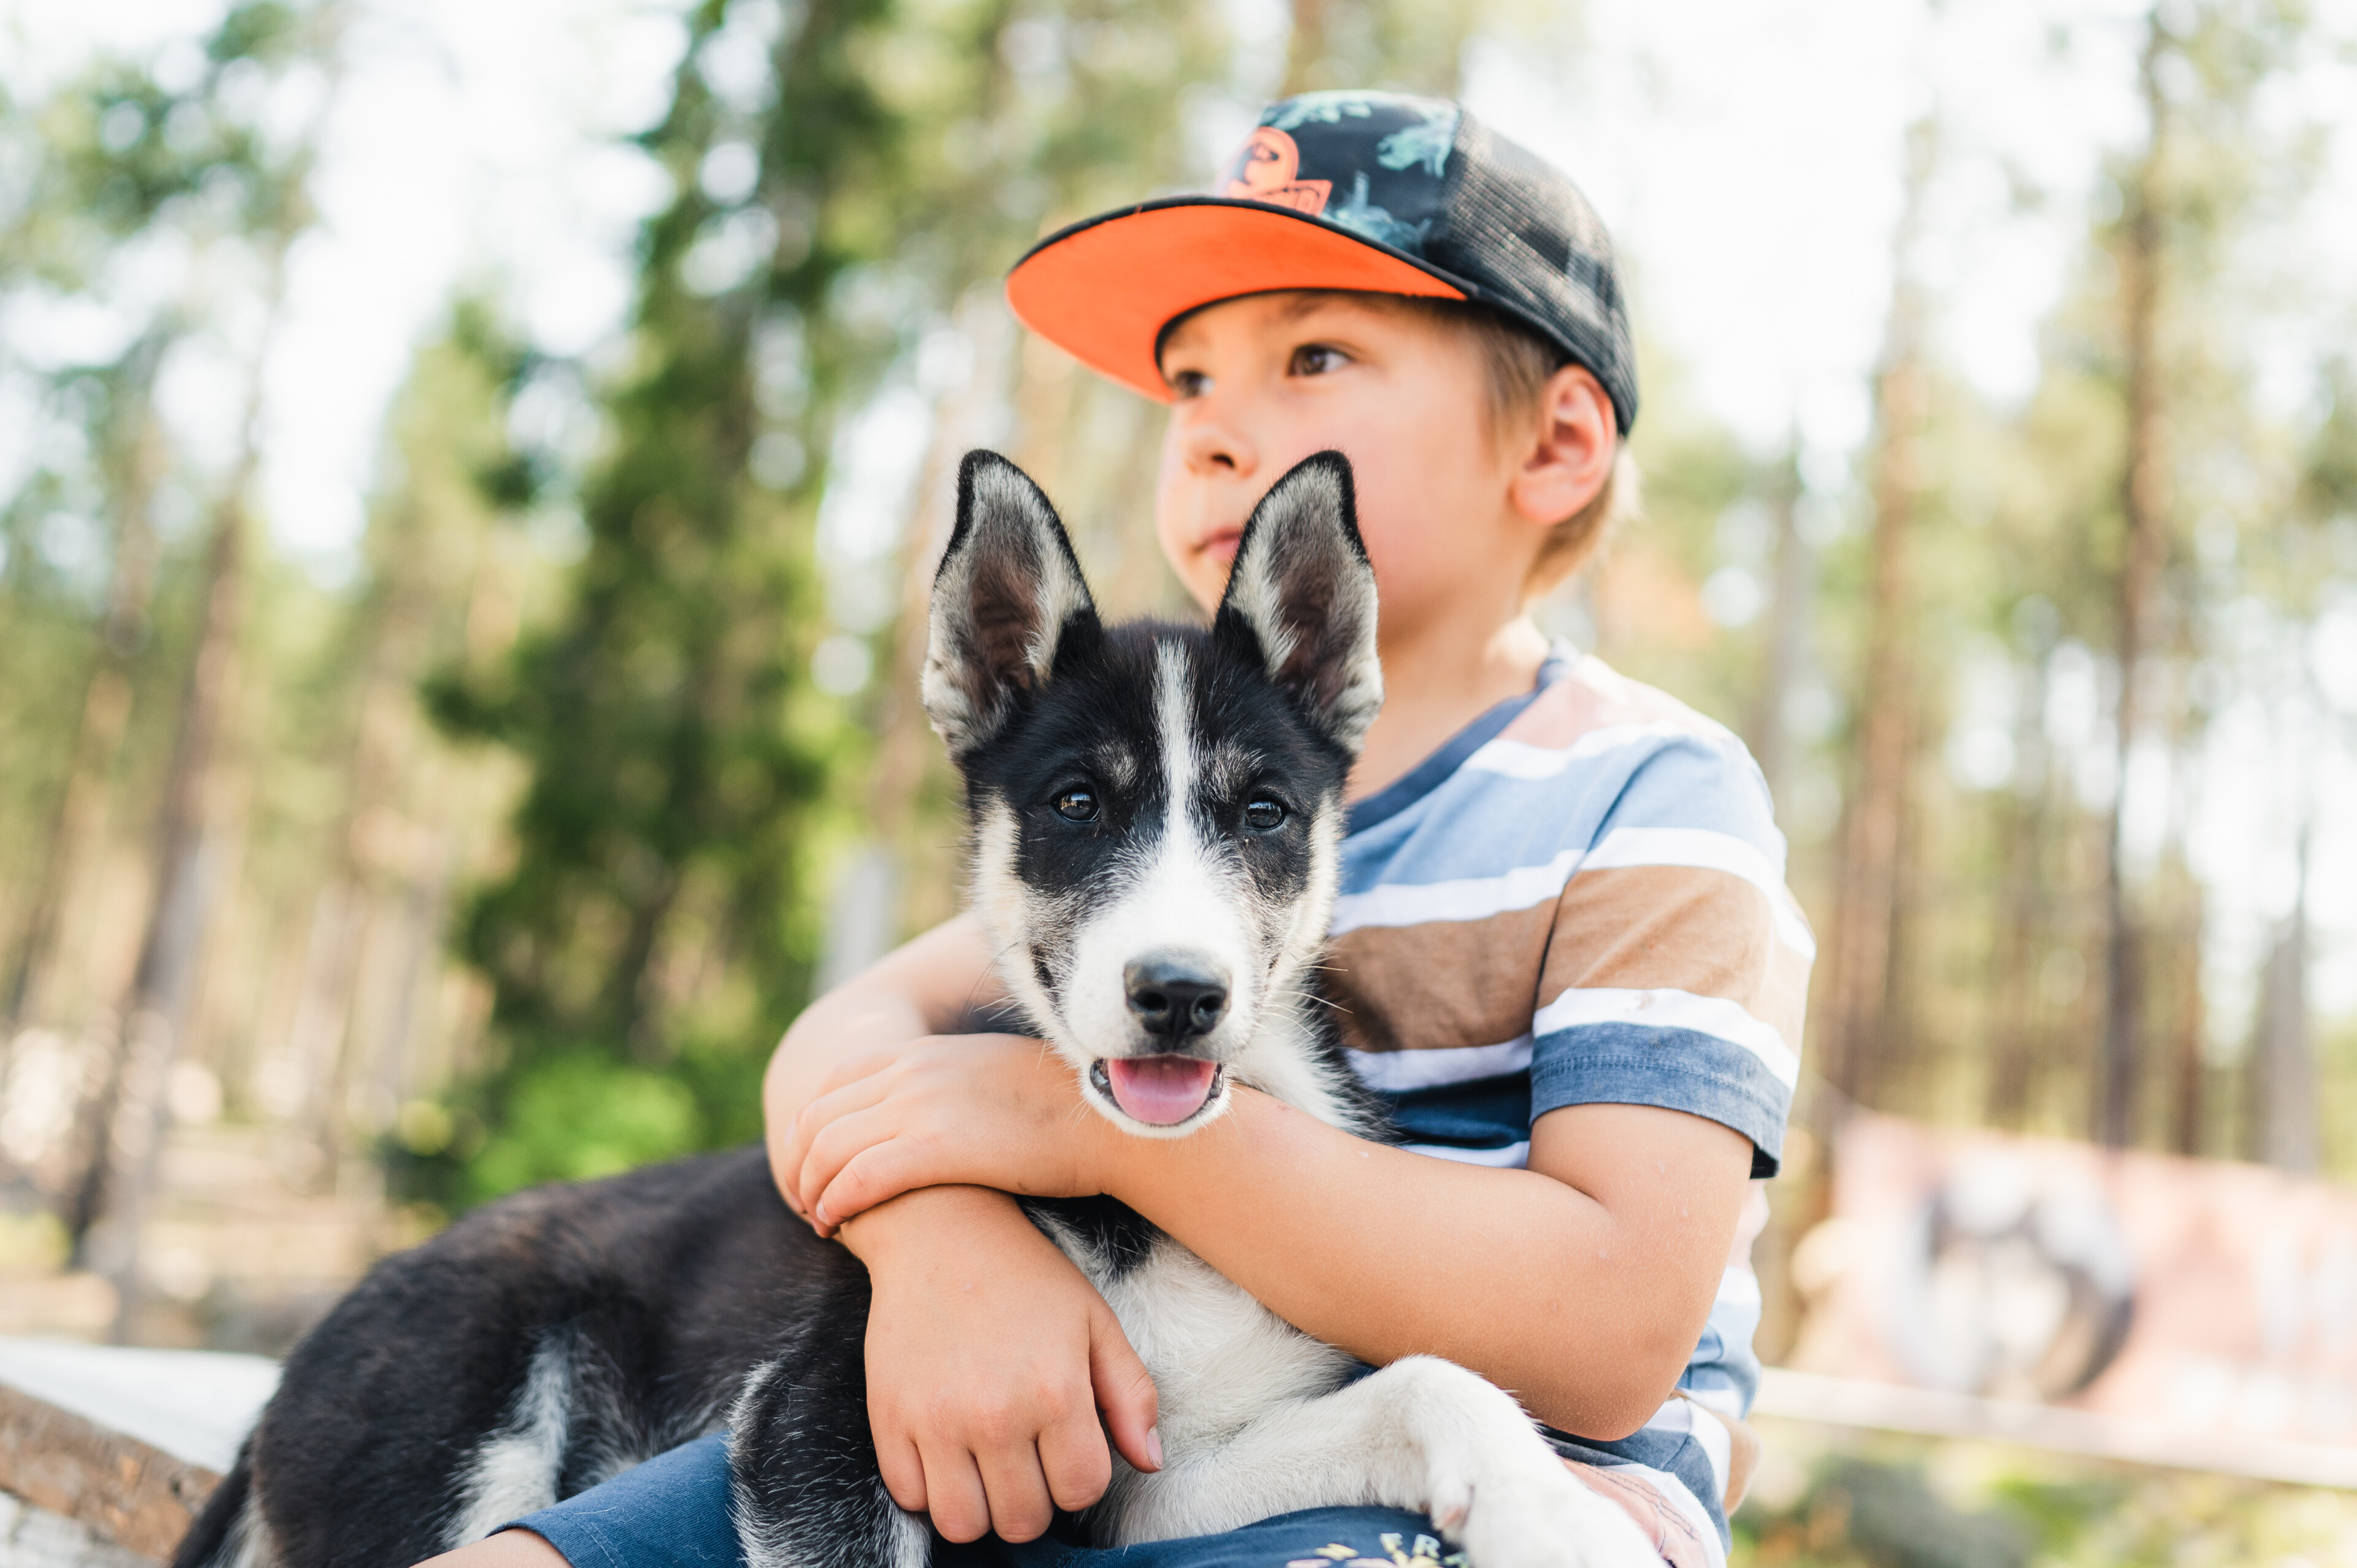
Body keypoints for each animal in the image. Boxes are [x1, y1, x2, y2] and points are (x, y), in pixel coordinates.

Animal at [174, 450, 1659, 1566]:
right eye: (1075, 801)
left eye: (1264, 811)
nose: (1179, 996)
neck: (1157, 1212)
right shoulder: (825, 1425)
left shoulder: (1156, 1481)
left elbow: (1430, 1376)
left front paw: (1551, 1514)